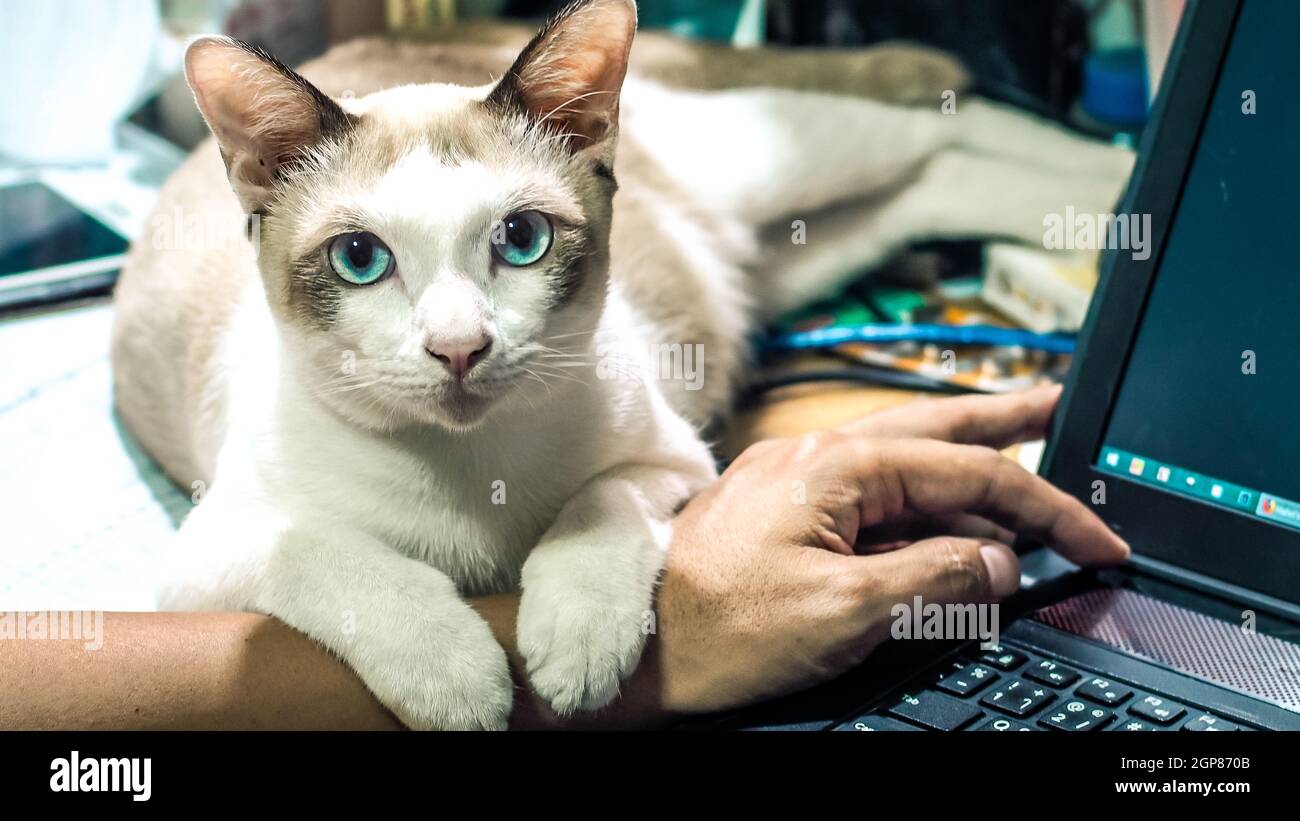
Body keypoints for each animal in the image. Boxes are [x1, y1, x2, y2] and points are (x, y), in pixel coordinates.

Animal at [109, 0, 1128, 732]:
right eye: (361, 259)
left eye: (520, 240)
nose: (458, 347)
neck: (473, 475)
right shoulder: (210, 554)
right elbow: (335, 558)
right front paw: (459, 675)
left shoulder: (673, 460)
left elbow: (595, 513)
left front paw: (572, 647)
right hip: (810, 245)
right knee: (936, 180)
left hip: (783, 165)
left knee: (952, 127)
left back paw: (1116, 200)